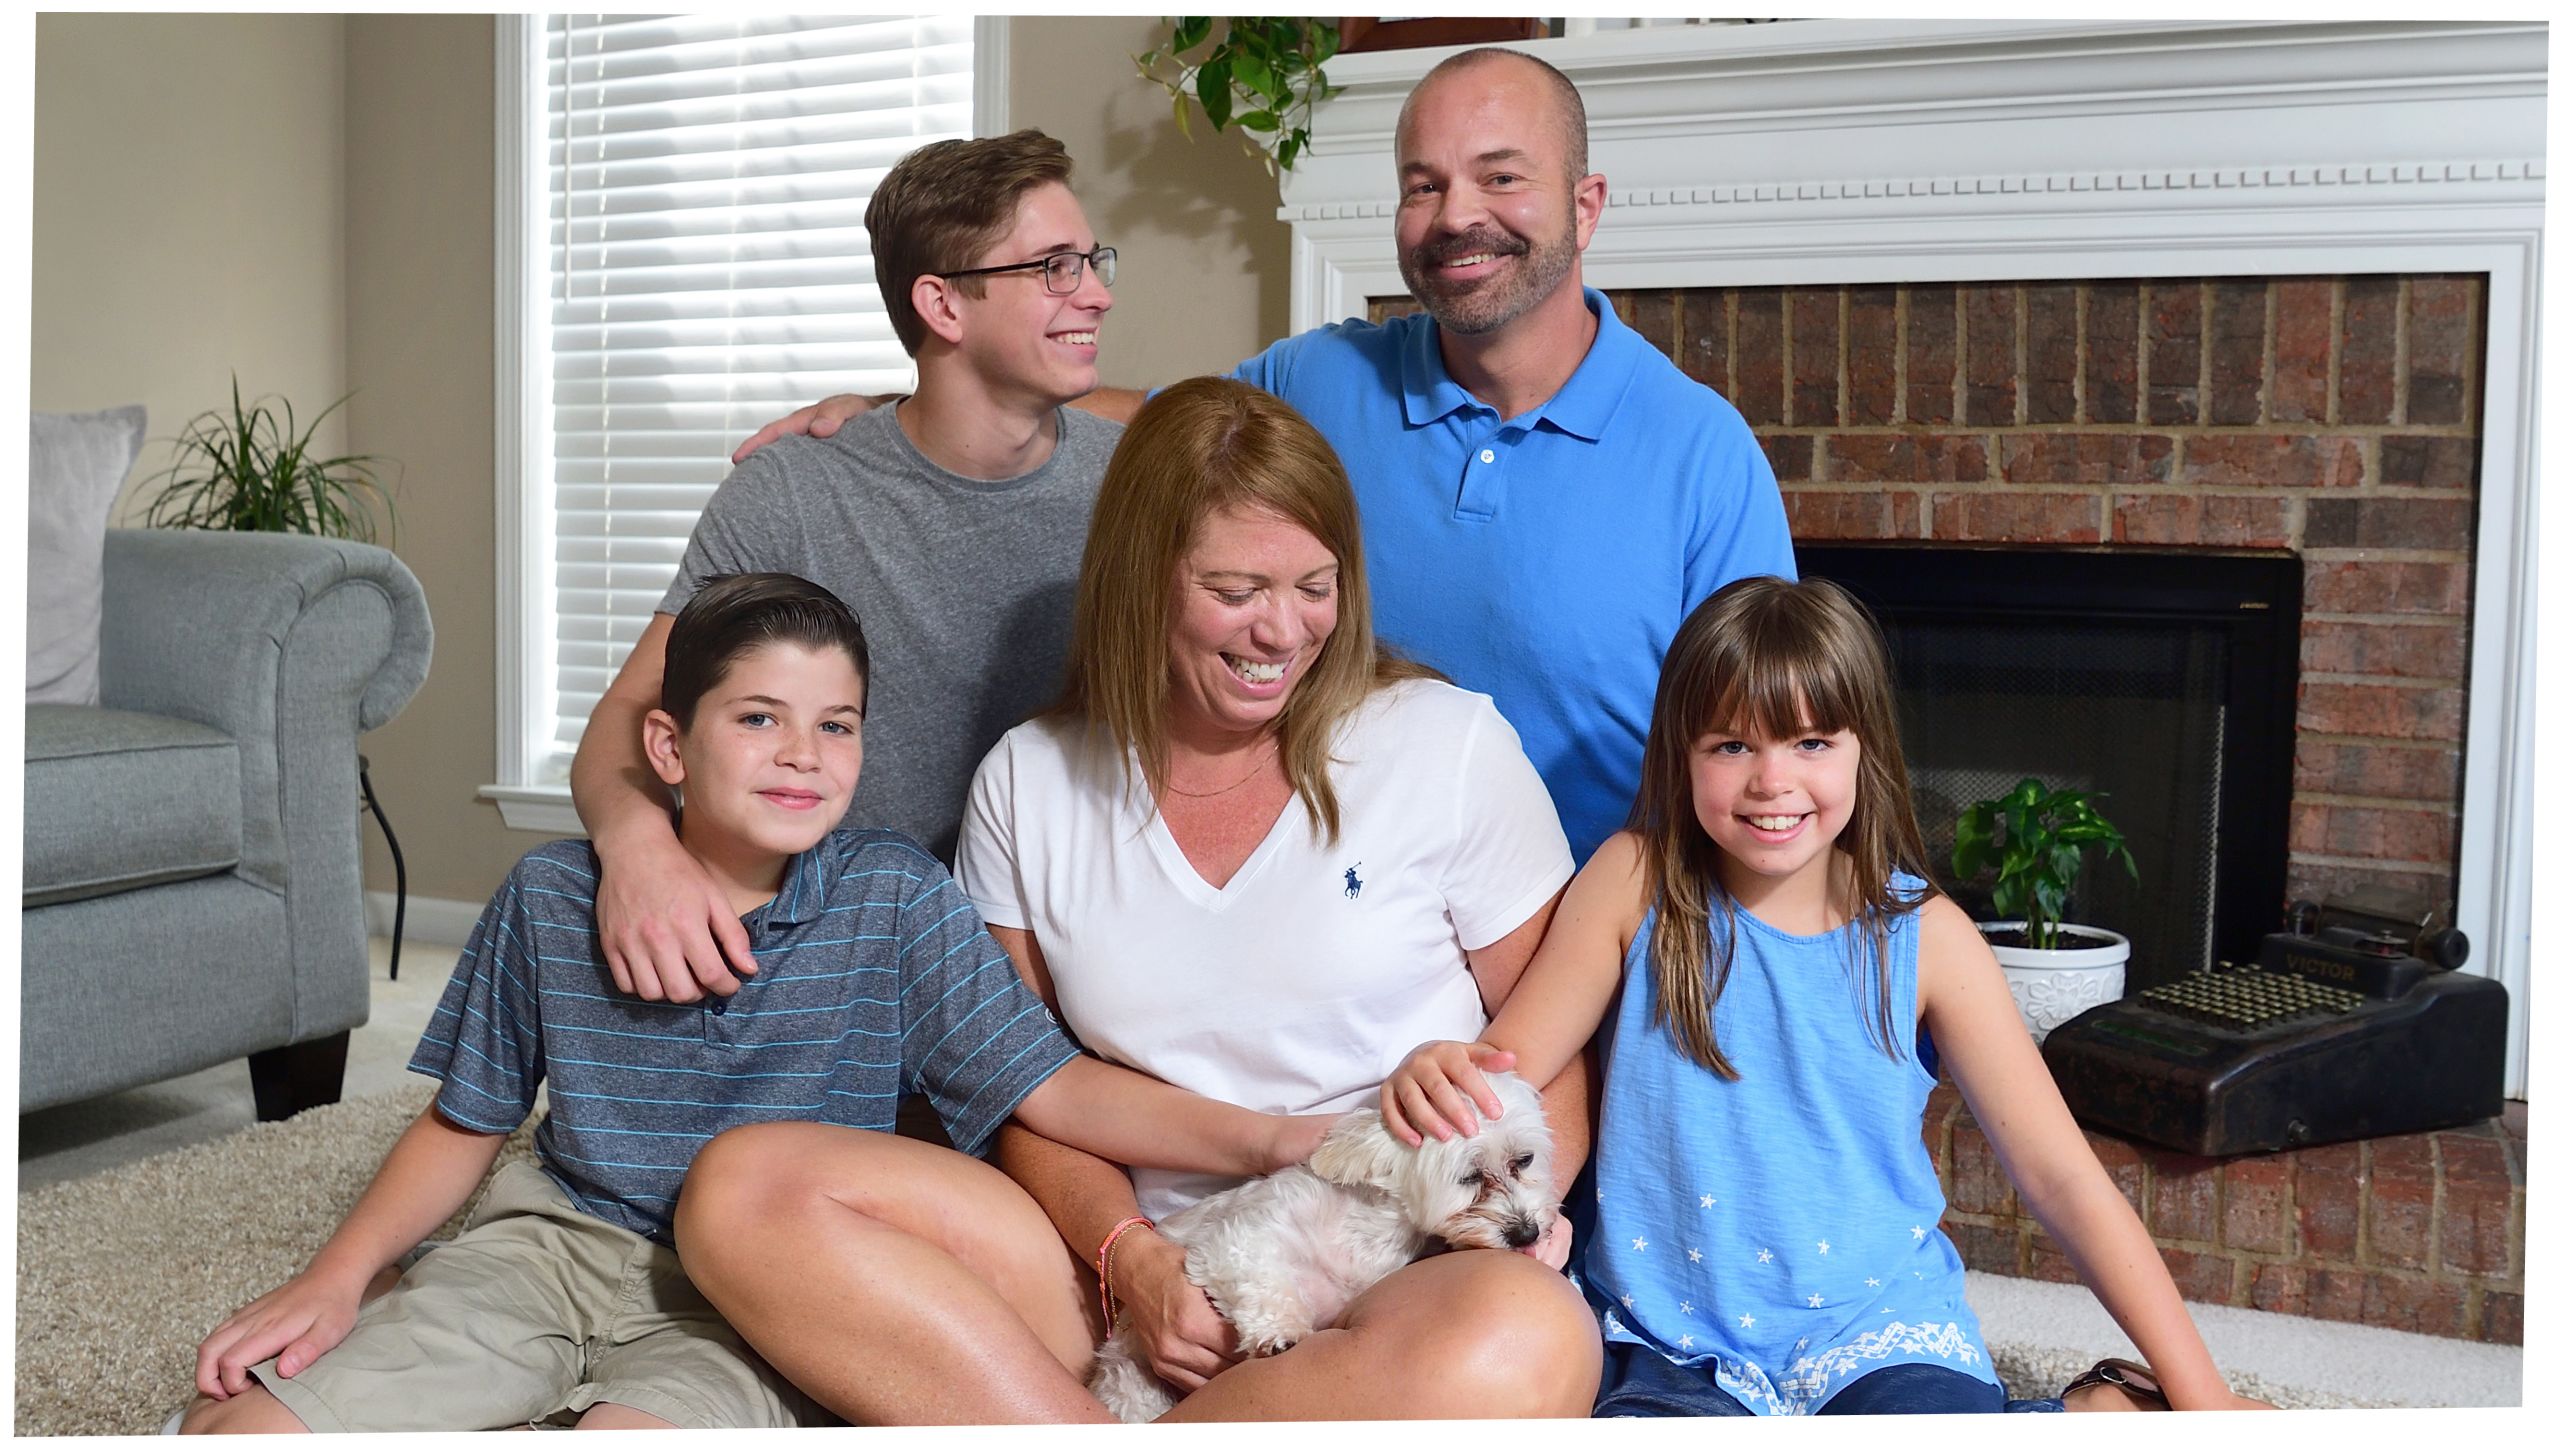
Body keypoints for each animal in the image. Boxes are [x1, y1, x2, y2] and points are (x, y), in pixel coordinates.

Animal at [1085, 1071, 1556, 1414]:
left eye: (1524, 1160)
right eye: (1470, 1177)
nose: (1527, 1232)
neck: (1370, 1230)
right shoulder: (1238, 1239)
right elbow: (1255, 1272)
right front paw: (1280, 1333)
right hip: (1132, 1385)